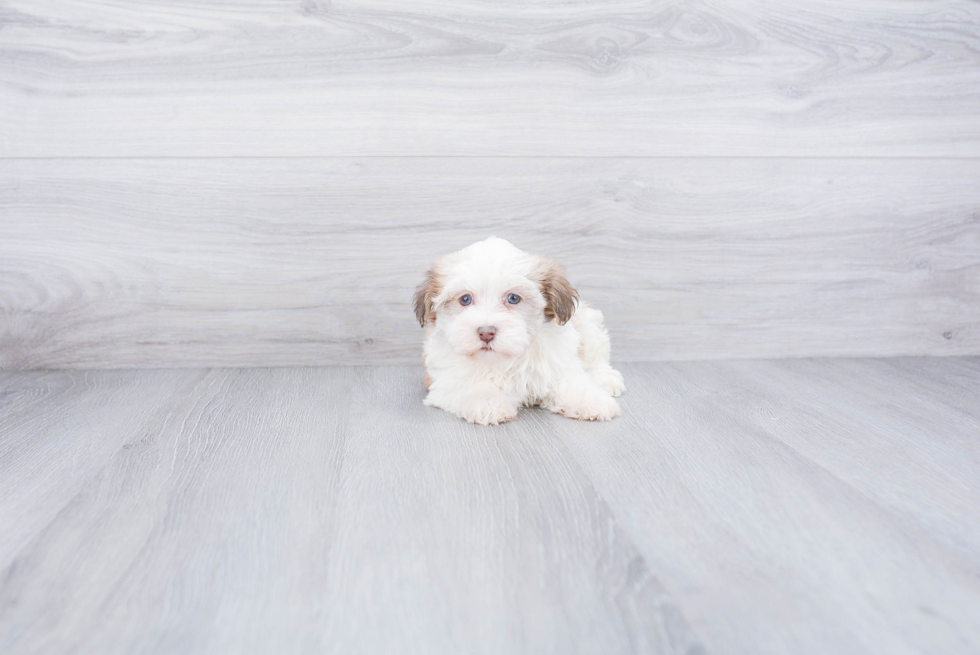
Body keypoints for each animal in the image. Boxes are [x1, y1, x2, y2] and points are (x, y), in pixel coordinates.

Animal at [410, 238, 624, 428]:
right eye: (465, 299)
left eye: (513, 298)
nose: (486, 332)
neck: (505, 358)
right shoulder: (446, 380)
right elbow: (472, 386)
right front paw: (487, 402)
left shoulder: (559, 363)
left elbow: (570, 382)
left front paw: (591, 401)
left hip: (588, 323)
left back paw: (605, 379)